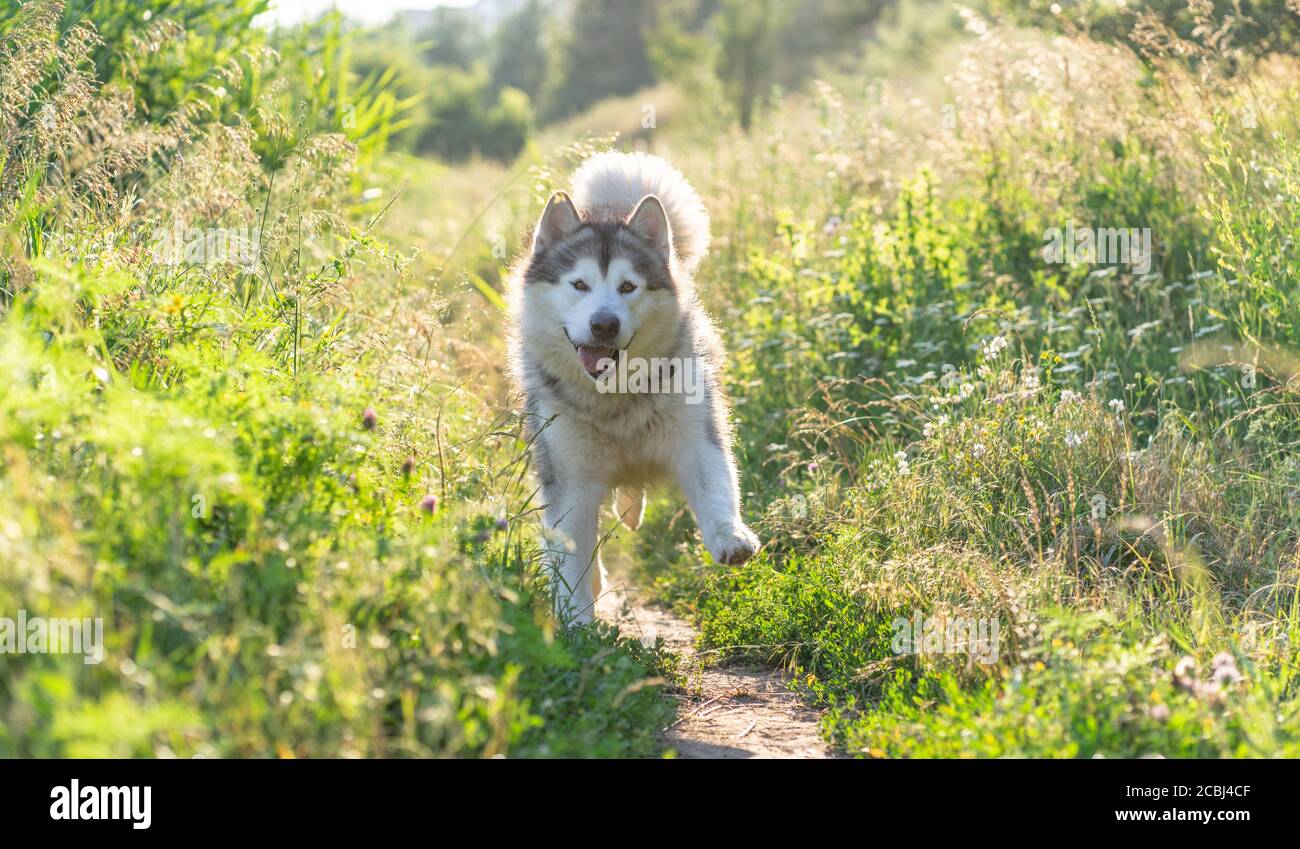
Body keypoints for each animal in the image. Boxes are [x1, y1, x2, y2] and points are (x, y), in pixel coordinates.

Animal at [506, 150, 759, 621]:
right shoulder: (570, 479)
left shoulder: (696, 434)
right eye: (579, 284)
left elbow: (715, 483)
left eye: (628, 286)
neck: (615, 400)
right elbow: (571, 559)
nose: (604, 324)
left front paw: (729, 536)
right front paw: (576, 622)